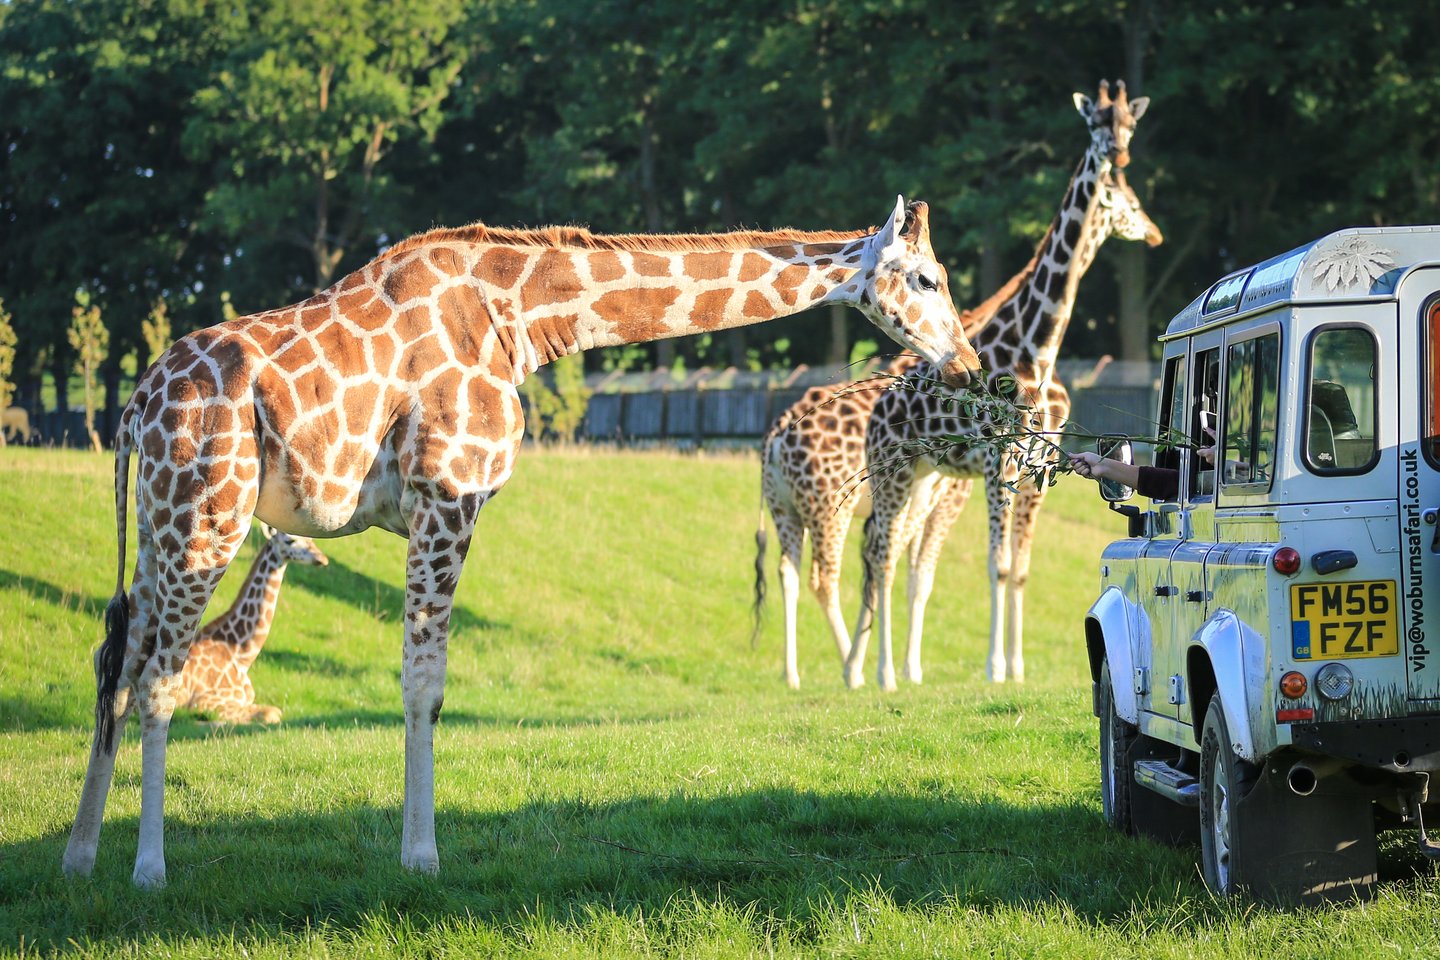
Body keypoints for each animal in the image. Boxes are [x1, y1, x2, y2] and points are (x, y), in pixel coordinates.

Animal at [173, 525, 329, 724]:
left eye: (311, 539)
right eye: (290, 540)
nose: (322, 559)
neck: (242, 656)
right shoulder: (204, 702)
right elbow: (271, 713)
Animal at [843, 81, 1160, 692]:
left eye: (1131, 125)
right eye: (1097, 125)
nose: (1120, 157)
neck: (1037, 349)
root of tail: (878, 409)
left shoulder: (1035, 467)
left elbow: (1020, 569)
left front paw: (1016, 666)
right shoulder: (1000, 464)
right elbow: (999, 563)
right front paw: (995, 668)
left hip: (926, 478)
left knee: (900, 555)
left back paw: (885, 669)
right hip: (893, 469)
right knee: (883, 554)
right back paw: (881, 674)